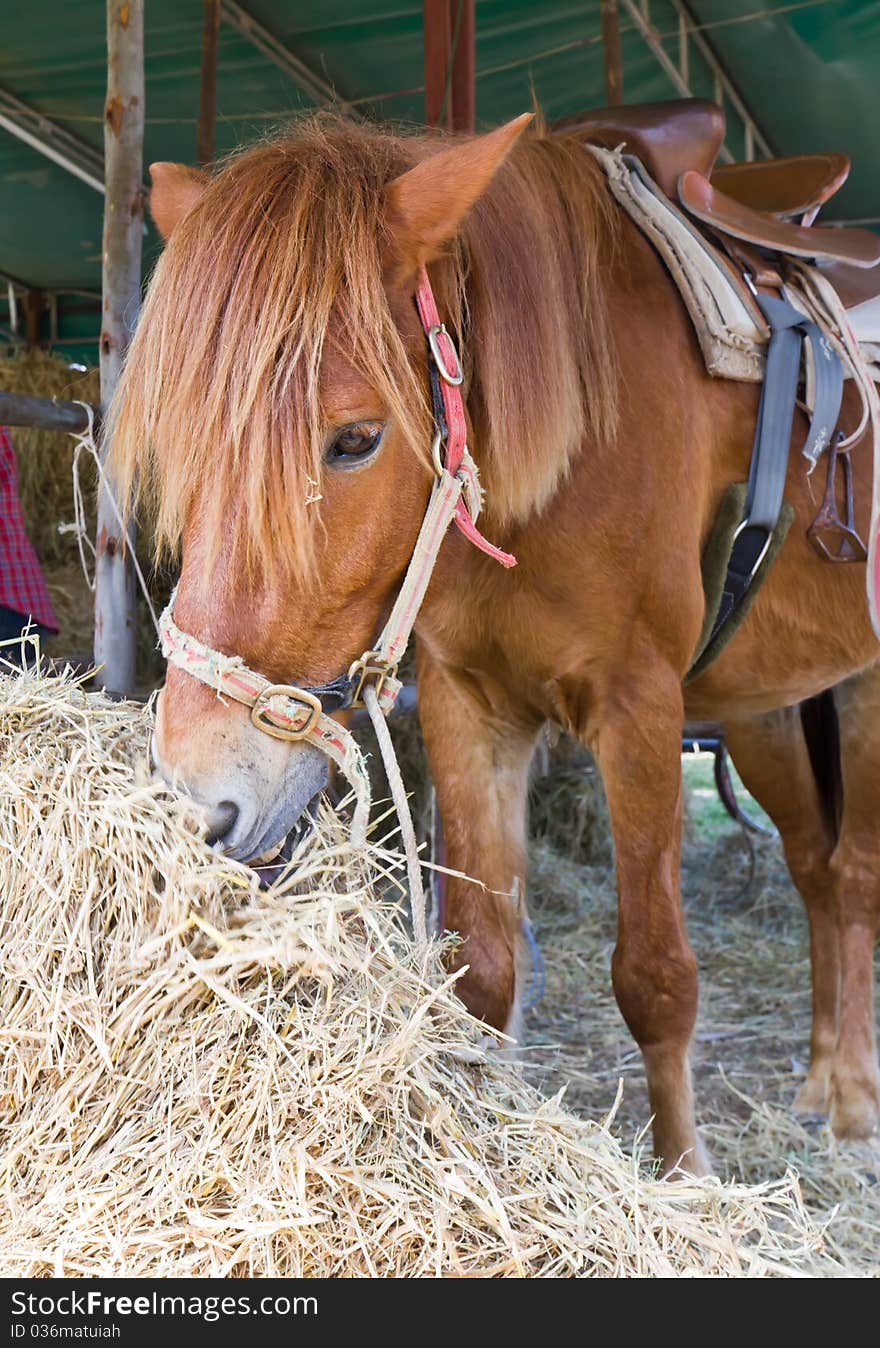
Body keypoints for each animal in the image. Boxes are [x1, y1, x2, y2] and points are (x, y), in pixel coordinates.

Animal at [109, 113, 878, 1170]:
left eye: (354, 439)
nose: (201, 800)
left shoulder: (640, 712)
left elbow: (656, 978)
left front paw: (683, 1175)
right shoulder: (469, 710)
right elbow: (483, 967)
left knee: (854, 877)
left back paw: (850, 1104)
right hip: (769, 709)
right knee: (815, 871)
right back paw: (817, 1082)